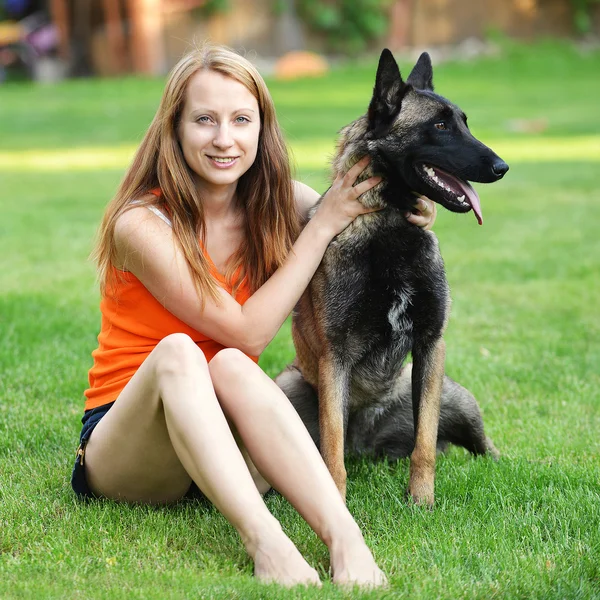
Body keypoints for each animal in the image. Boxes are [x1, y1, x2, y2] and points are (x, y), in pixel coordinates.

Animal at [276, 48, 506, 506]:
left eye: (464, 122)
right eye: (439, 126)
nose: (502, 166)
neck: (388, 225)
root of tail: (365, 443)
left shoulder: (431, 344)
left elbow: (425, 442)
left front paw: (422, 500)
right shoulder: (335, 358)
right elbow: (330, 449)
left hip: (455, 395)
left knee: (479, 447)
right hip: (288, 388)